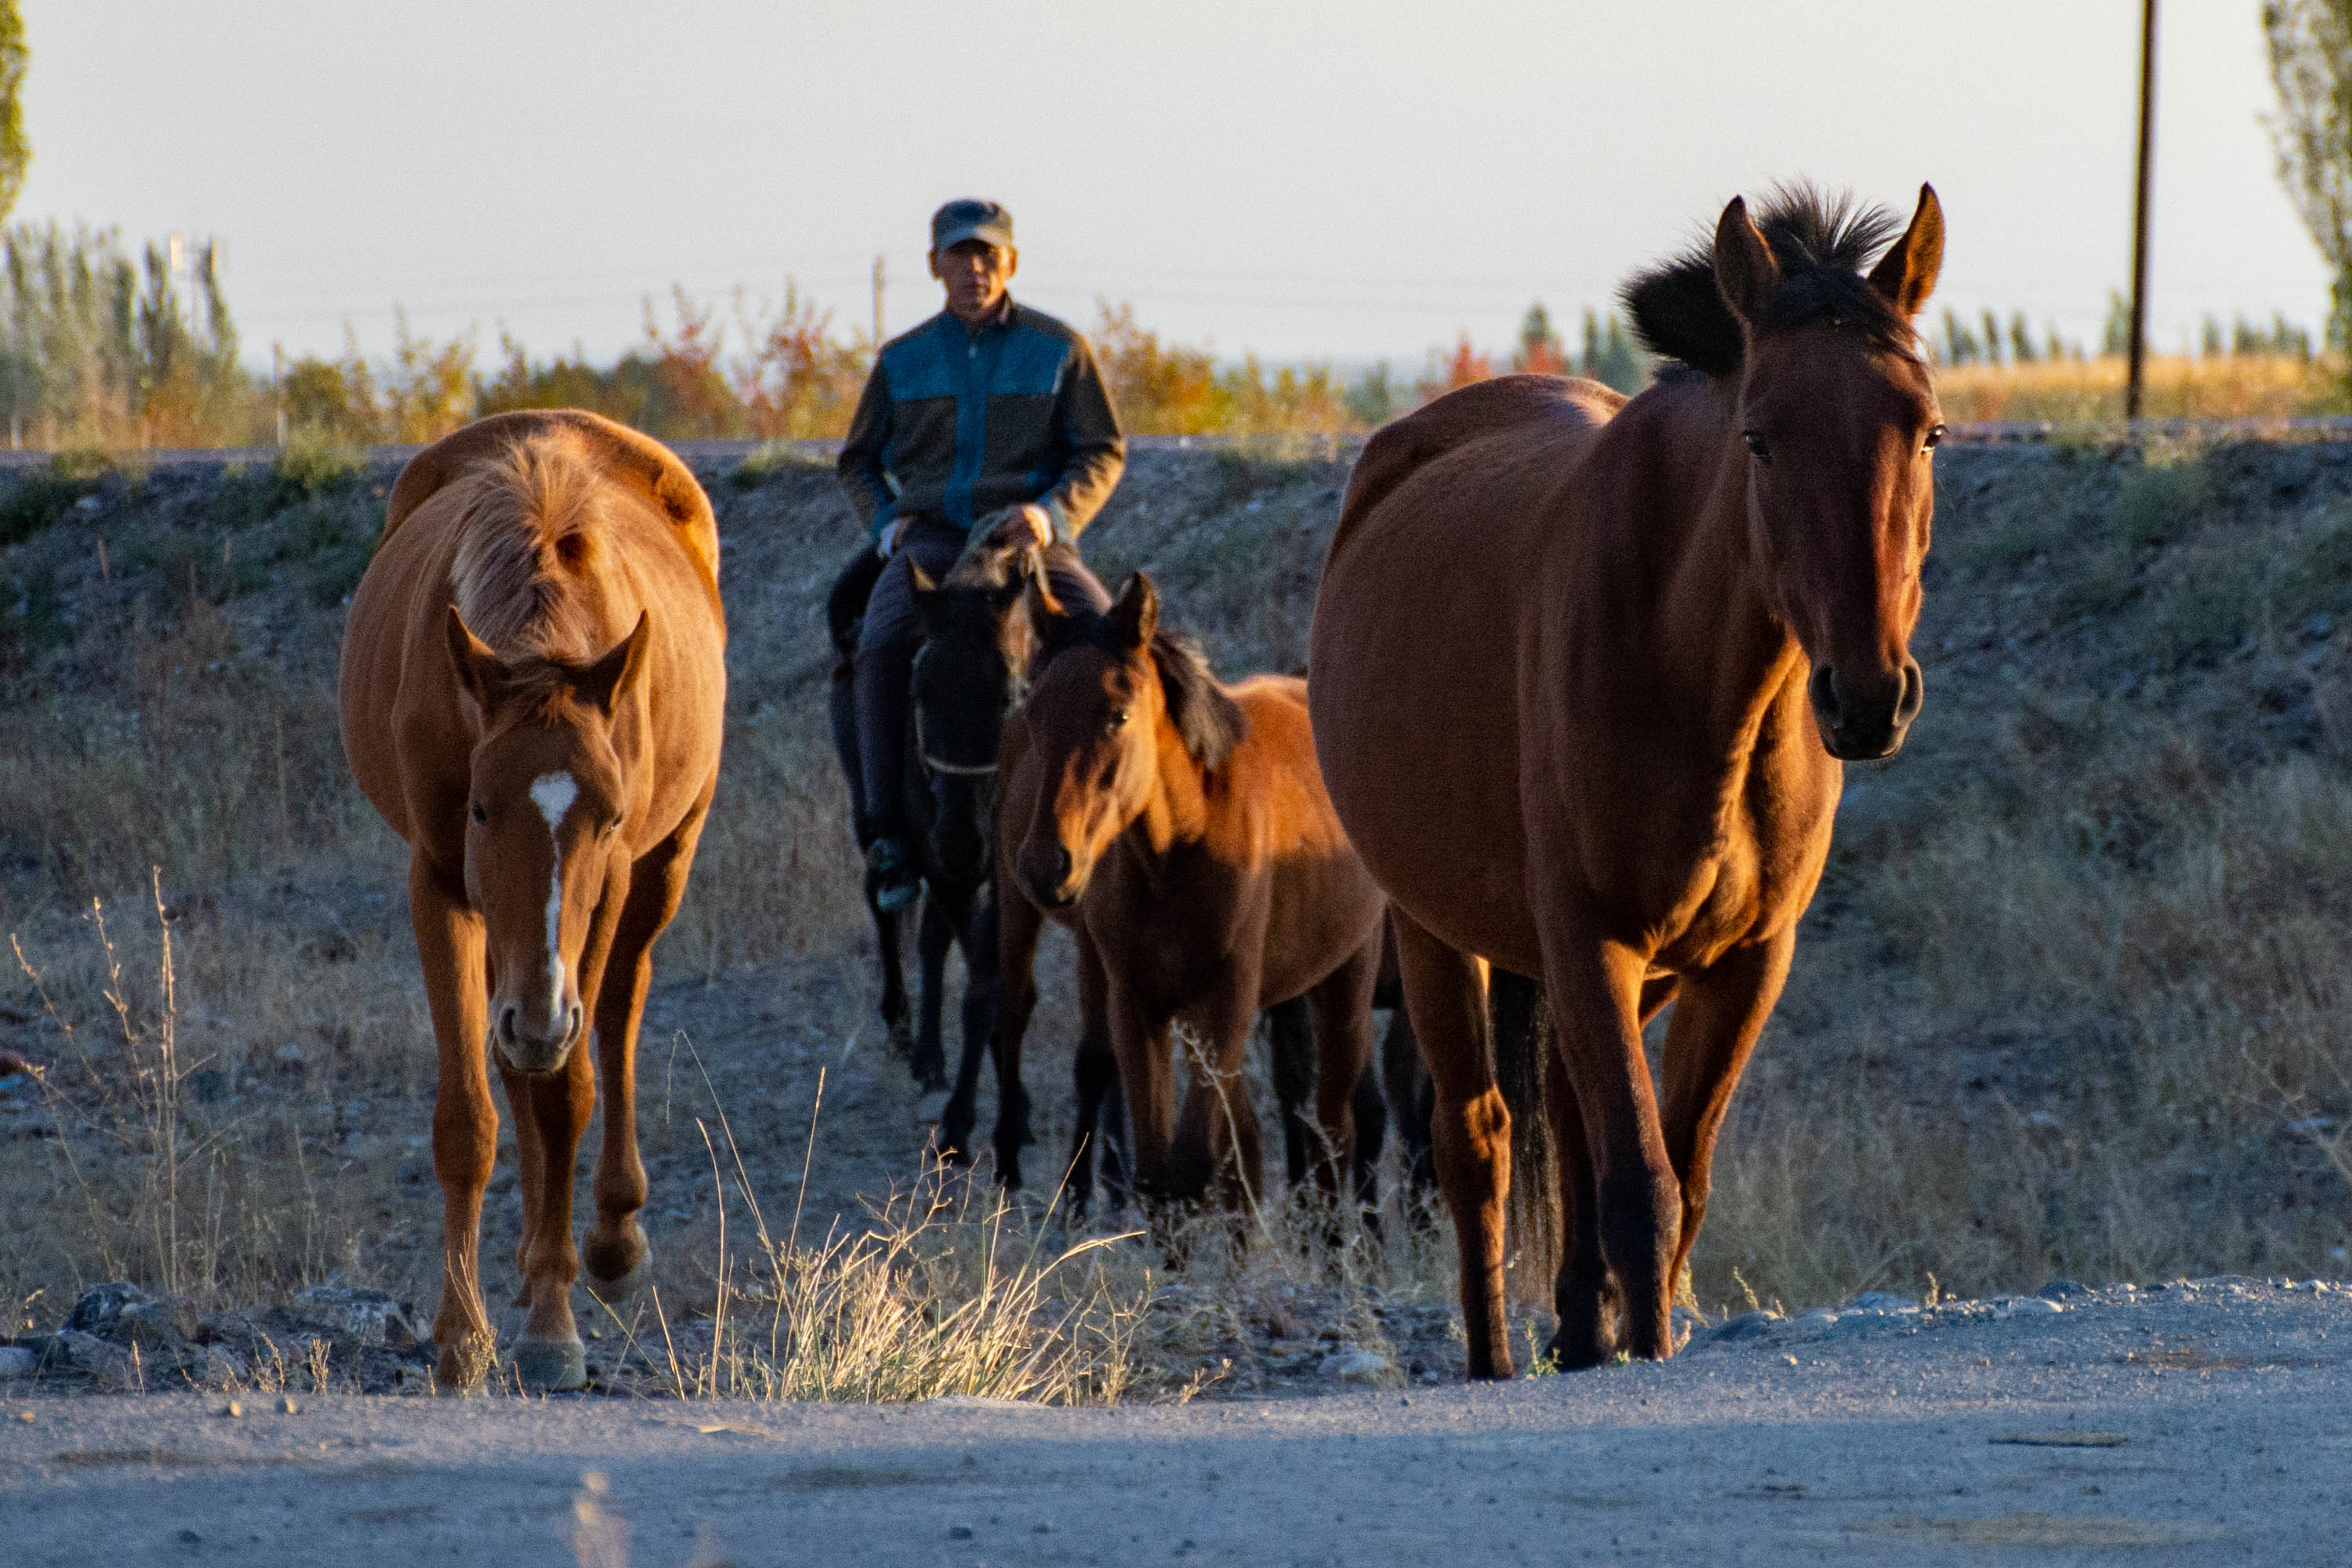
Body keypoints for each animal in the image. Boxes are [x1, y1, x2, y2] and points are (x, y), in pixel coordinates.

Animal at [339, 411, 724, 1392]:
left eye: (610, 813)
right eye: (480, 807)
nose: (540, 1013)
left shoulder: (615, 874)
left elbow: (574, 1083)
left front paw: (554, 1322)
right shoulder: (442, 881)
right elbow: (470, 1117)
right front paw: (461, 1334)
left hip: (663, 869)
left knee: (614, 1014)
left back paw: (612, 1238)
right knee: (521, 1059)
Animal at [988, 571, 1383, 1213]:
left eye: (1119, 714)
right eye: (1037, 710)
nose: (1047, 865)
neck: (1179, 851)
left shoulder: (1225, 1004)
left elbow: (1193, 1166)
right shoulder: (1138, 1007)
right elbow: (1158, 1173)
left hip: (1344, 986)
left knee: (1332, 1138)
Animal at [1308, 184, 1947, 1382]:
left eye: (1926, 429)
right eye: (1759, 436)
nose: (1868, 696)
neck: (1697, 675)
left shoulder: (1743, 962)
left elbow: (1675, 1179)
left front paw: (1626, 1337)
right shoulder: (1590, 935)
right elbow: (1642, 1187)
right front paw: (1644, 1353)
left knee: (1565, 1116)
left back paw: (1577, 1332)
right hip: (1434, 930)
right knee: (1479, 1142)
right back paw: (1496, 1358)